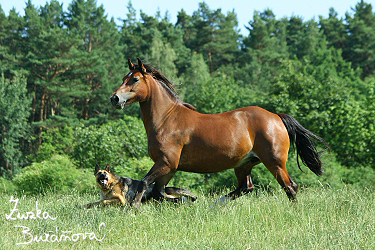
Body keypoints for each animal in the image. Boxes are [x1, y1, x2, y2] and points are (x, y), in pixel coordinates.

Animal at [111, 58, 326, 207]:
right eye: (123, 78)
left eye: (135, 79)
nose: (115, 98)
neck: (166, 119)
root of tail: (276, 117)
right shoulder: (169, 168)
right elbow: (159, 193)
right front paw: (186, 201)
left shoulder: (166, 163)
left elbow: (144, 183)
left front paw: (134, 207)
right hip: (244, 164)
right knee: (246, 188)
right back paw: (215, 205)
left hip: (275, 162)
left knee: (290, 187)